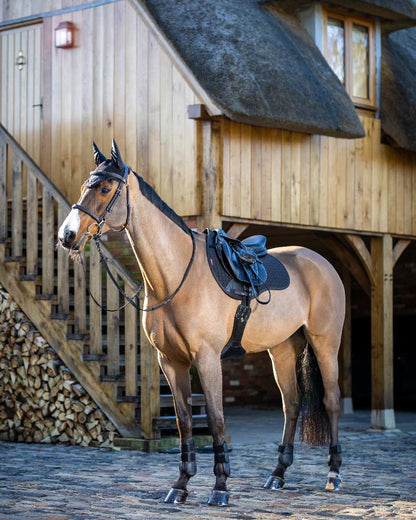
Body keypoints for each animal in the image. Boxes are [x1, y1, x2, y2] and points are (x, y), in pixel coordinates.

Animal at [58, 140, 344, 506]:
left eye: (106, 188)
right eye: (85, 185)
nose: (67, 235)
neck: (177, 276)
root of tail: (322, 262)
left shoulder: (207, 359)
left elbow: (216, 419)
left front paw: (220, 488)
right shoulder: (171, 361)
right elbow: (183, 421)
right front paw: (180, 485)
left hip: (325, 344)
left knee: (332, 401)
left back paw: (333, 475)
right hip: (281, 350)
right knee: (291, 404)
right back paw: (277, 475)